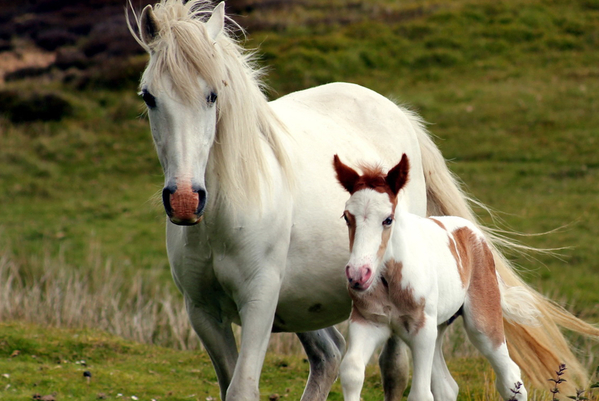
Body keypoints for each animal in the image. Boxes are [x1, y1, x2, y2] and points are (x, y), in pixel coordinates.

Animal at [336, 154, 532, 400]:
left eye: (388, 219)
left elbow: (420, 393)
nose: (358, 274)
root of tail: (475, 234)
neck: (391, 279)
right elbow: (351, 372)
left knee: (510, 377)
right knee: (447, 386)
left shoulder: (422, 330)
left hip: (481, 323)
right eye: (346, 217)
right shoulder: (367, 321)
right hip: (439, 328)